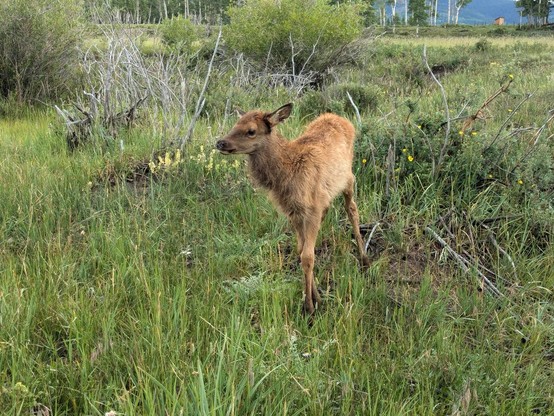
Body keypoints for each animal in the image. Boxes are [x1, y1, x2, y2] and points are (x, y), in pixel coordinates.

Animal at [215, 104, 366, 316]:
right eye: (235, 124)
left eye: (251, 131)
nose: (220, 143)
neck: (287, 174)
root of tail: (340, 118)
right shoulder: (293, 213)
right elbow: (302, 251)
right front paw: (316, 296)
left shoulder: (311, 210)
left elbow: (308, 256)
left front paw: (309, 306)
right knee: (330, 210)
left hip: (349, 179)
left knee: (352, 209)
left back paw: (364, 258)